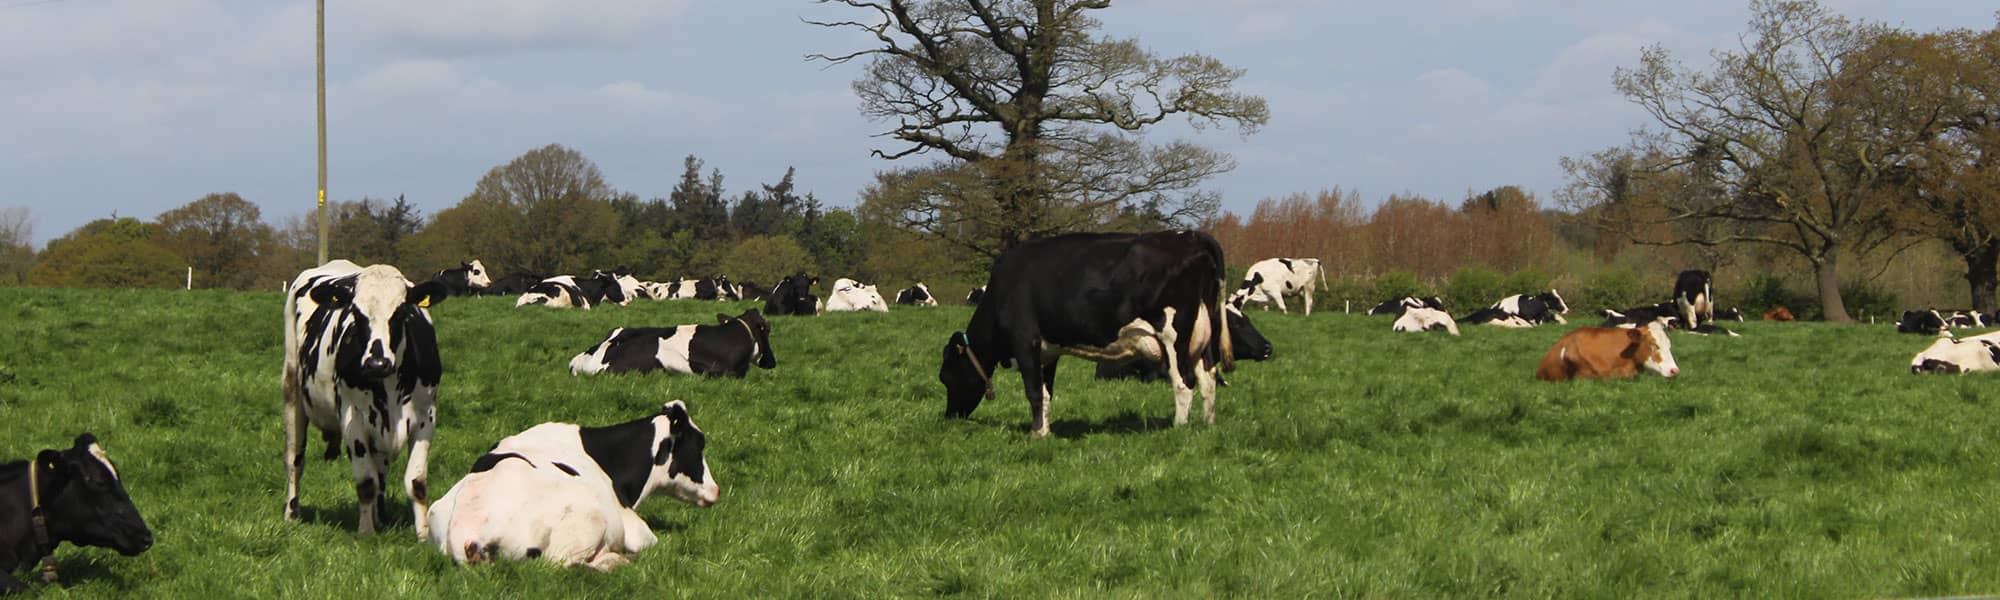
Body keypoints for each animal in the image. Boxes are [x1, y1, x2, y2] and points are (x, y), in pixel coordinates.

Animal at [283, 260, 448, 537]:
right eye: (356, 313)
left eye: (401, 312)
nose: (377, 363)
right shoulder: (353, 417)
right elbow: (365, 482)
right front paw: (366, 533)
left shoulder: (426, 417)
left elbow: (415, 482)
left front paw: (424, 534)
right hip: (292, 389)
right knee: (295, 460)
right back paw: (292, 514)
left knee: (380, 469)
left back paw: (381, 517)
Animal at [427, 401, 719, 571]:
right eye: (699, 444)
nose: (716, 490)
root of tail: (467, 530)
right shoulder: (636, 529)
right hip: (588, 524)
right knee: (568, 566)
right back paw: (614, 561)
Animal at [941, 231, 1232, 437]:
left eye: (945, 377)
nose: (949, 417)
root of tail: (1190, 236)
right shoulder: (1047, 350)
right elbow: (1045, 392)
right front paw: (1044, 431)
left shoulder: (1025, 341)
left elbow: (1033, 391)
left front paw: (1035, 434)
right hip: (1202, 336)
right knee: (1208, 380)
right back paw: (1208, 425)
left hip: (1173, 334)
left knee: (1183, 383)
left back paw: (1178, 428)